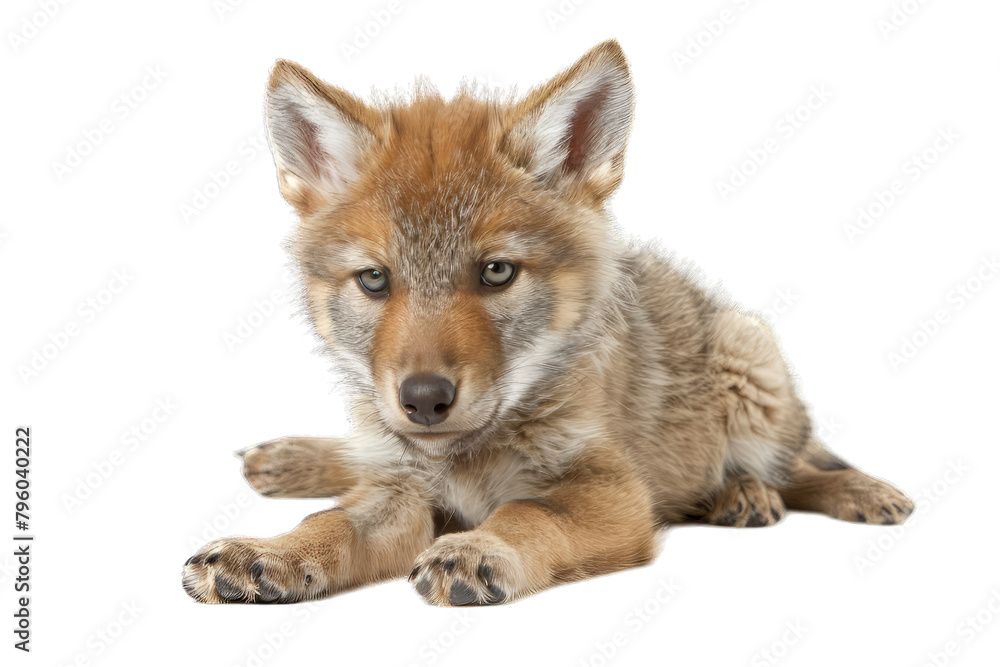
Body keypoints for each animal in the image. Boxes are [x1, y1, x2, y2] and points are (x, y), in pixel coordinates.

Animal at [182, 39, 914, 606]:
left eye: (496, 272)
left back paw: (788, 490)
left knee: (800, 464)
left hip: (750, 362)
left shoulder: (610, 490)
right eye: (374, 280)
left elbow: (526, 513)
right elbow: (331, 523)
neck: (468, 457)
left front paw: (479, 549)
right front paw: (270, 552)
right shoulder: (400, 488)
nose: (423, 399)